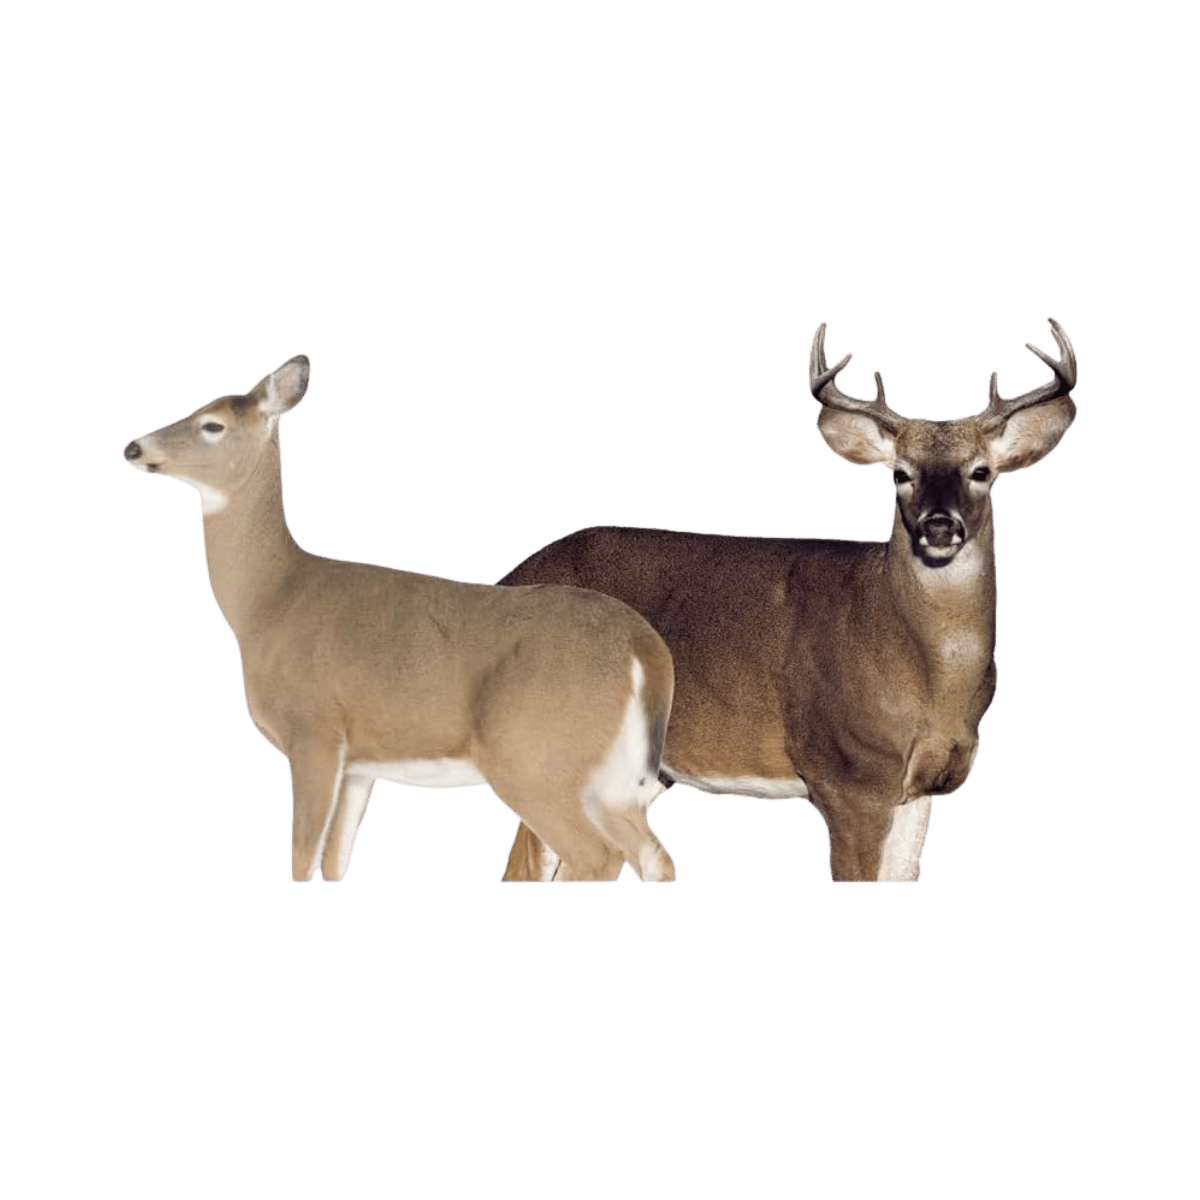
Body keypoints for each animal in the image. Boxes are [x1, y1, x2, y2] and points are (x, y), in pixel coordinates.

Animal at [122, 355, 676, 884]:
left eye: (212, 424)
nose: (132, 446)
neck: (270, 601)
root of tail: (646, 649)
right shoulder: (361, 766)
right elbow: (335, 864)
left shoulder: (314, 731)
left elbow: (302, 859)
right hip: (613, 777)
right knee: (654, 856)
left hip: (533, 757)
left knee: (596, 856)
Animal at [498, 317, 1078, 883]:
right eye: (900, 473)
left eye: (981, 471)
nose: (939, 526)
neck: (928, 679)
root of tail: (507, 576)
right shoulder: (846, 777)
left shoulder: (923, 787)